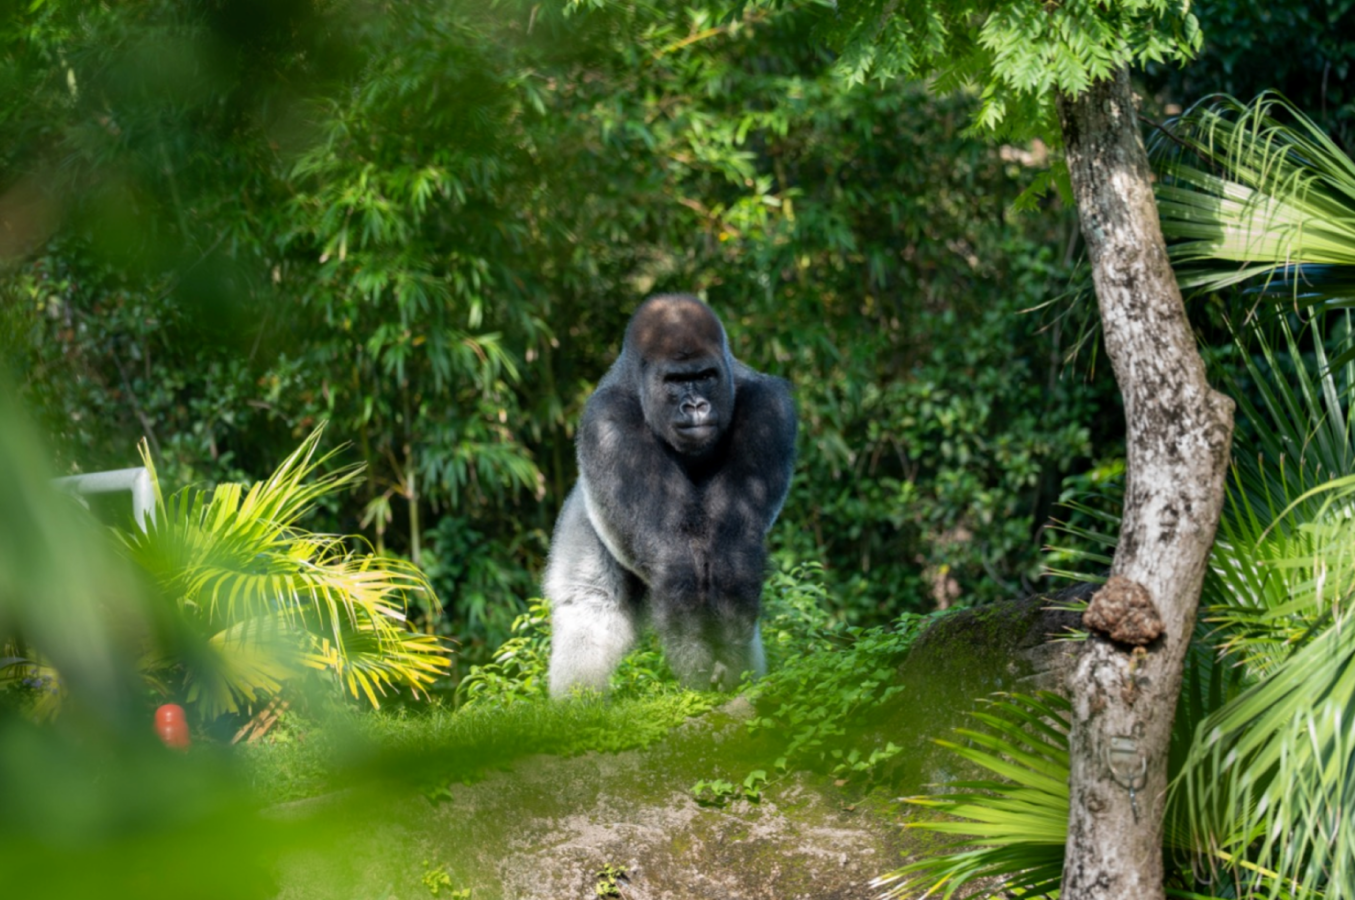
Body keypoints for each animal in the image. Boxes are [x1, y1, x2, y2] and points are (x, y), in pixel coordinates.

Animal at [544, 294, 797, 696]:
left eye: (705, 376)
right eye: (675, 381)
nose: (695, 406)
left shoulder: (768, 409)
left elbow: (733, 542)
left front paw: (728, 661)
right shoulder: (608, 424)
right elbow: (670, 548)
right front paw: (696, 660)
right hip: (584, 509)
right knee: (591, 604)